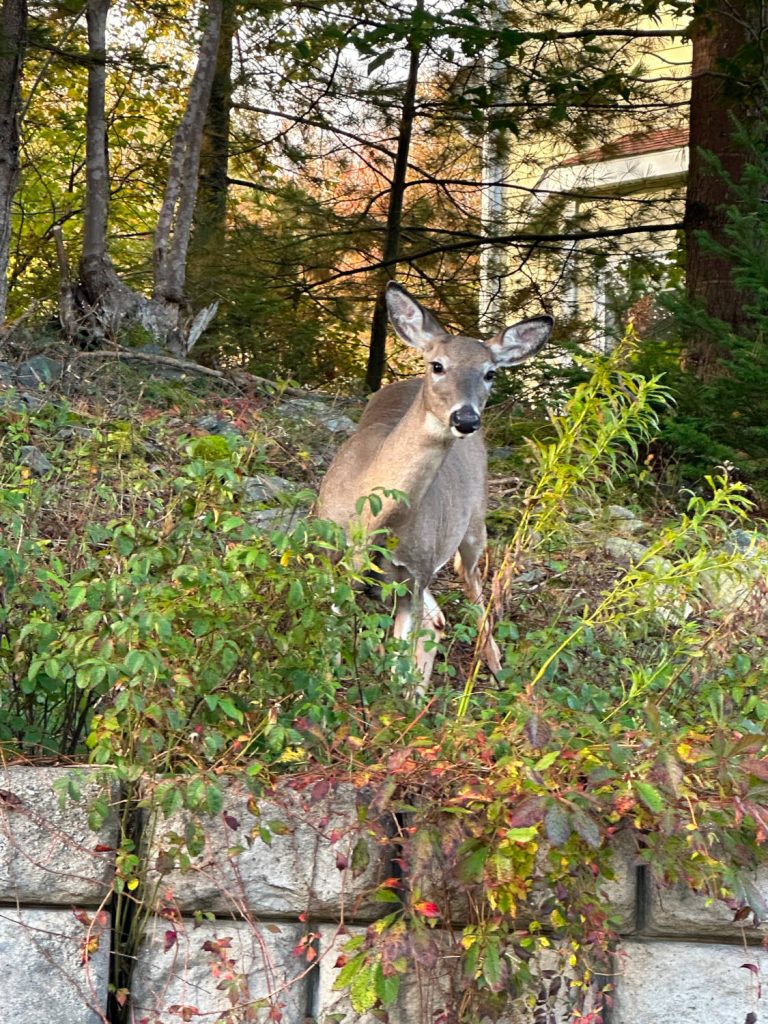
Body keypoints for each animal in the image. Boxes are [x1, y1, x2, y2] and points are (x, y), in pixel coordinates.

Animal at [316, 281, 552, 688]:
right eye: (438, 365)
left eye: (490, 373)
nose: (466, 418)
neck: (375, 518)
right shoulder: (334, 559)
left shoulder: (416, 573)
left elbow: (399, 665)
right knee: (438, 617)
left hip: (474, 522)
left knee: (470, 581)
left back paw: (494, 666)